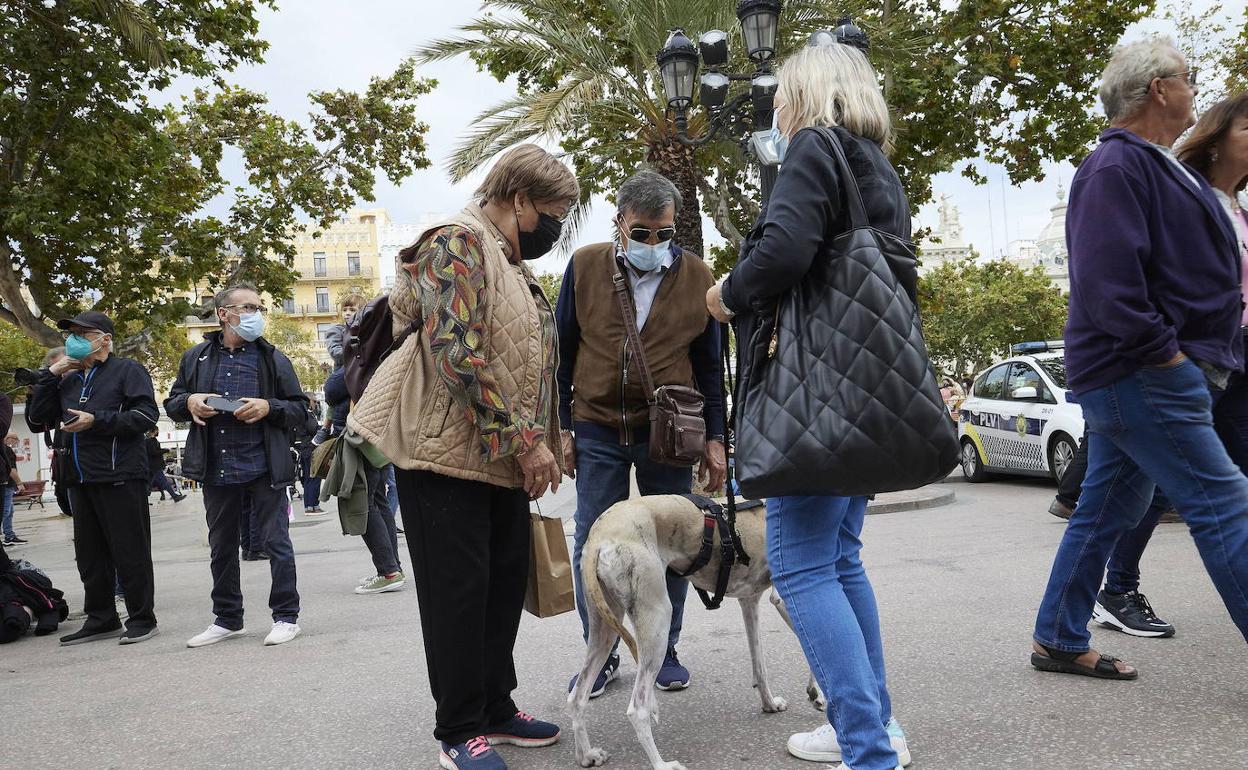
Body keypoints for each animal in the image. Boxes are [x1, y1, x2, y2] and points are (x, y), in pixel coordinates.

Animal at [564, 496, 818, 763]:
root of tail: (599, 535)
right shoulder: (788, 596)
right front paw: (819, 697)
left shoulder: (749, 601)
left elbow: (760, 665)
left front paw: (770, 704)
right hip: (657, 619)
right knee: (638, 709)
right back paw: (662, 765)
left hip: (603, 627)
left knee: (577, 697)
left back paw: (586, 755)